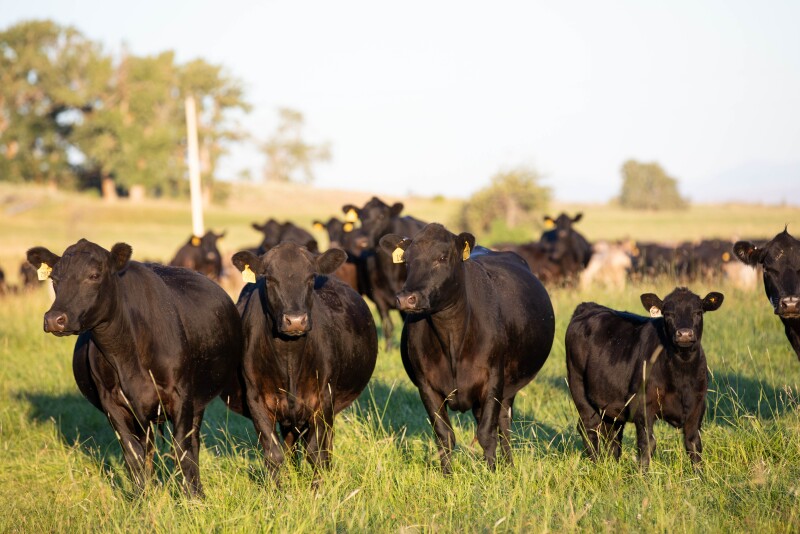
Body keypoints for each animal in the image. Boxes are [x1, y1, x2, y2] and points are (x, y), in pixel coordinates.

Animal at [26, 239, 243, 497]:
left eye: (94, 275)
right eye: (54, 278)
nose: (54, 319)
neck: (125, 355)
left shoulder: (182, 397)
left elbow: (181, 449)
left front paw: (191, 498)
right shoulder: (113, 404)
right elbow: (133, 455)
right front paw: (143, 498)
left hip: (196, 402)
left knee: (192, 443)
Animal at [231, 243, 378, 485]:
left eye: (310, 278)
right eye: (269, 279)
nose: (296, 320)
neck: (289, 356)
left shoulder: (324, 397)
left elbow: (316, 452)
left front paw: (319, 489)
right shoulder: (256, 399)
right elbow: (273, 454)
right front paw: (277, 492)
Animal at [342, 196, 427, 350]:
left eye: (381, 216)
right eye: (360, 217)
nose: (361, 242)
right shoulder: (378, 296)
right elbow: (388, 326)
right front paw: (388, 349)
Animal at [379, 223, 555, 473]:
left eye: (442, 257)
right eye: (407, 261)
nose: (406, 298)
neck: (452, 338)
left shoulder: (493, 380)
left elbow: (486, 434)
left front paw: (491, 473)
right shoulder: (426, 385)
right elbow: (444, 435)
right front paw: (447, 475)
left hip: (507, 388)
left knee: (503, 424)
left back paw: (509, 465)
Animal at [565, 287, 723, 470]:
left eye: (698, 312)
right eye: (668, 314)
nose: (684, 334)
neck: (681, 375)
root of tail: (588, 306)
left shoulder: (697, 405)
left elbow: (693, 444)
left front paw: (699, 475)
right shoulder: (642, 405)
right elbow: (647, 444)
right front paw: (643, 476)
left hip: (610, 402)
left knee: (612, 433)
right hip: (578, 386)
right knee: (590, 427)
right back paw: (597, 465)